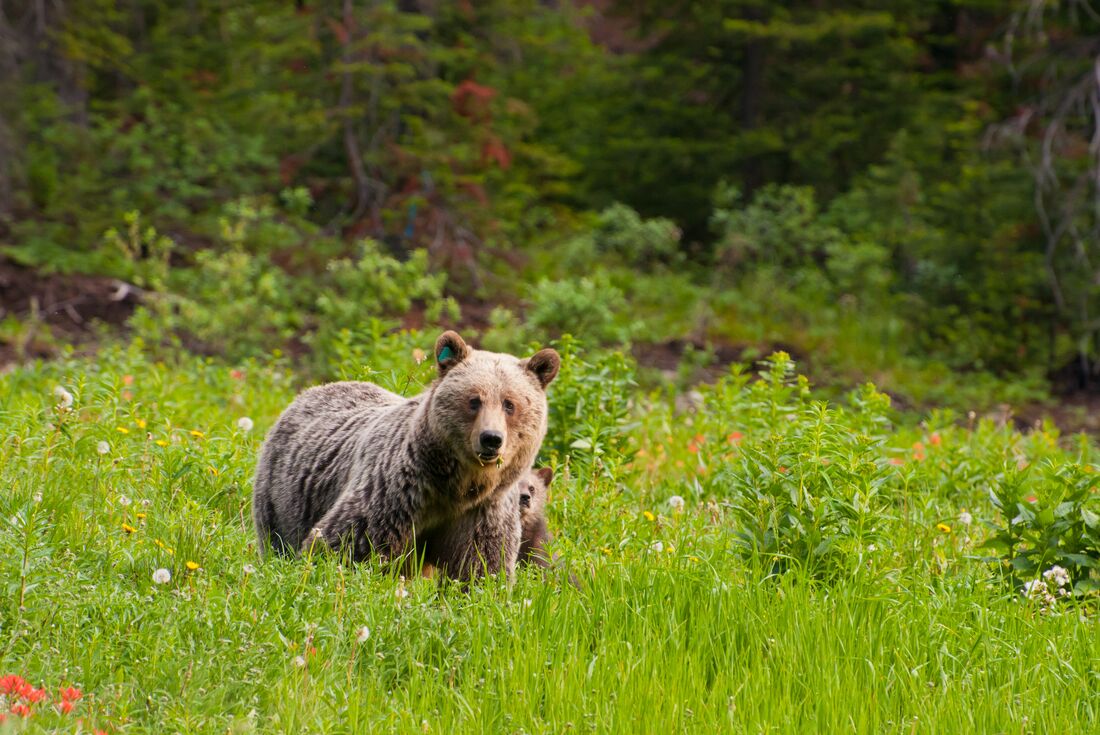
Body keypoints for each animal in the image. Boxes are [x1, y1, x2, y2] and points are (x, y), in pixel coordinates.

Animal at [249, 327, 558, 580]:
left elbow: (479, 566)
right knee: (278, 539)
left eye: (509, 404)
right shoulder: (397, 492)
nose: (491, 439)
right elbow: (347, 543)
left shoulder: (482, 512)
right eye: (474, 400)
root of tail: (312, 391)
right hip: (284, 495)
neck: (456, 487)